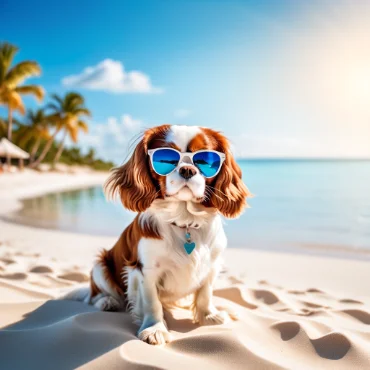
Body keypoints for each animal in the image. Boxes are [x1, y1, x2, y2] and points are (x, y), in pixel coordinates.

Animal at [65, 124, 250, 344]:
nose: (187, 169)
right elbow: (152, 302)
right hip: (100, 265)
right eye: (166, 158)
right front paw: (154, 329)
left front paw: (208, 316)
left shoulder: (212, 265)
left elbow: (205, 293)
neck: (184, 220)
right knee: (95, 295)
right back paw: (107, 302)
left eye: (204, 159)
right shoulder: (145, 270)